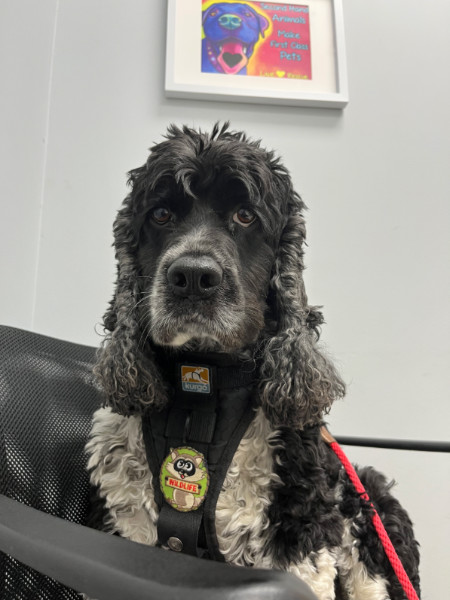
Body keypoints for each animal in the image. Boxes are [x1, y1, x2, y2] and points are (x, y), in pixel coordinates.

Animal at [85, 123, 422, 600]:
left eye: (246, 216)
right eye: (161, 214)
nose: (193, 277)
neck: (204, 380)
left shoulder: (299, 541)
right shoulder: (128, 522)